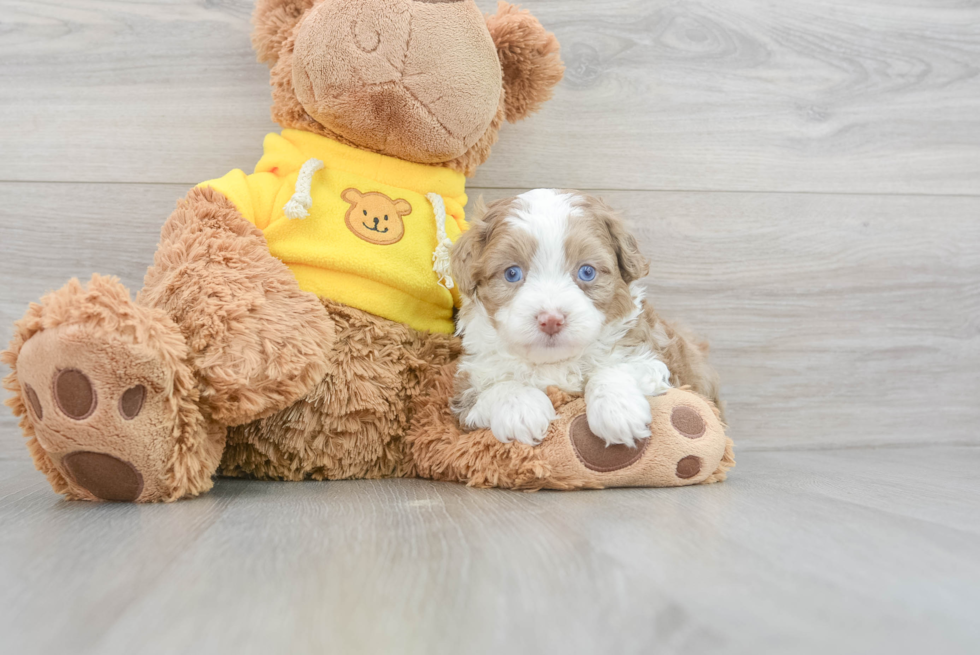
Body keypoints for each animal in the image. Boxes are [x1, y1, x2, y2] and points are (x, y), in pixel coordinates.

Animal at [448, 187, 716, 448]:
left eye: (587, 271)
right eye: (512, 273)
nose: (551, 319)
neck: (554, 363)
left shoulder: (655, 359)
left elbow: (616, 368)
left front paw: (617, 409)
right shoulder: (467, 385)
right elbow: (492, 388)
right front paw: (521, 409)